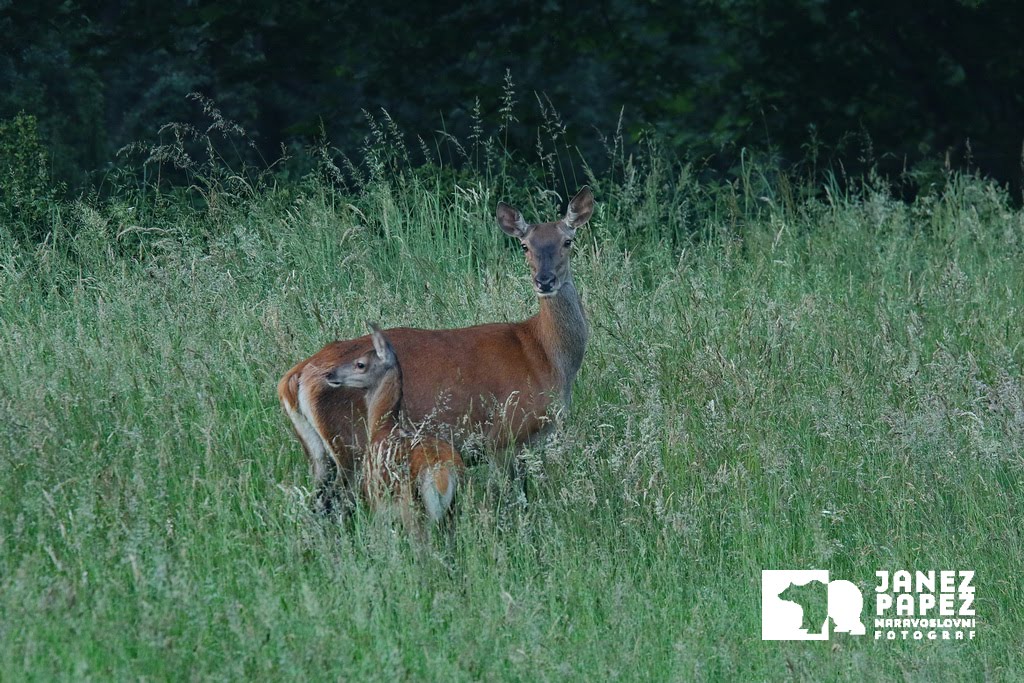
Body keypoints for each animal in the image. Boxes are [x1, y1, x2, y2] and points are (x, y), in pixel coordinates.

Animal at [276, 185, 598, 507]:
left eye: (567, 241)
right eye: (524, 246)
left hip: (319, 455)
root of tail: (296, 376)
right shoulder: (504, 434)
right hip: (351, 447)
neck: (545, 355)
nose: (545, 281)